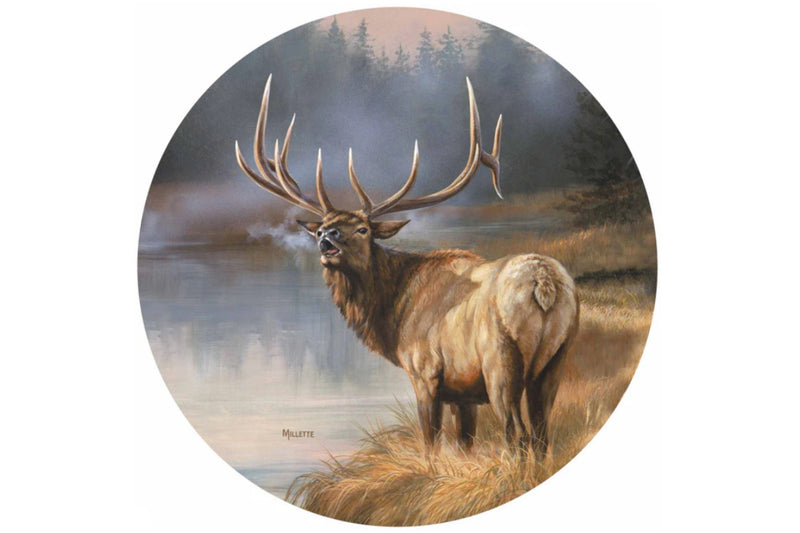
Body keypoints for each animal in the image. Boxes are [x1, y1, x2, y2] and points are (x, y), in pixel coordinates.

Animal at [234, 75, 579, 461]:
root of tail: (544, 283)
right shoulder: (463, 393)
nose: (326, 237)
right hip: (557, 358)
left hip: (500, 360)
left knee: (516, 433)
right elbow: (465, 443)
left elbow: (431, 441)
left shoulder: (425, 371)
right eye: (323, 224)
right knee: (542, 433)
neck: (392, 315)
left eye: (363, 228)